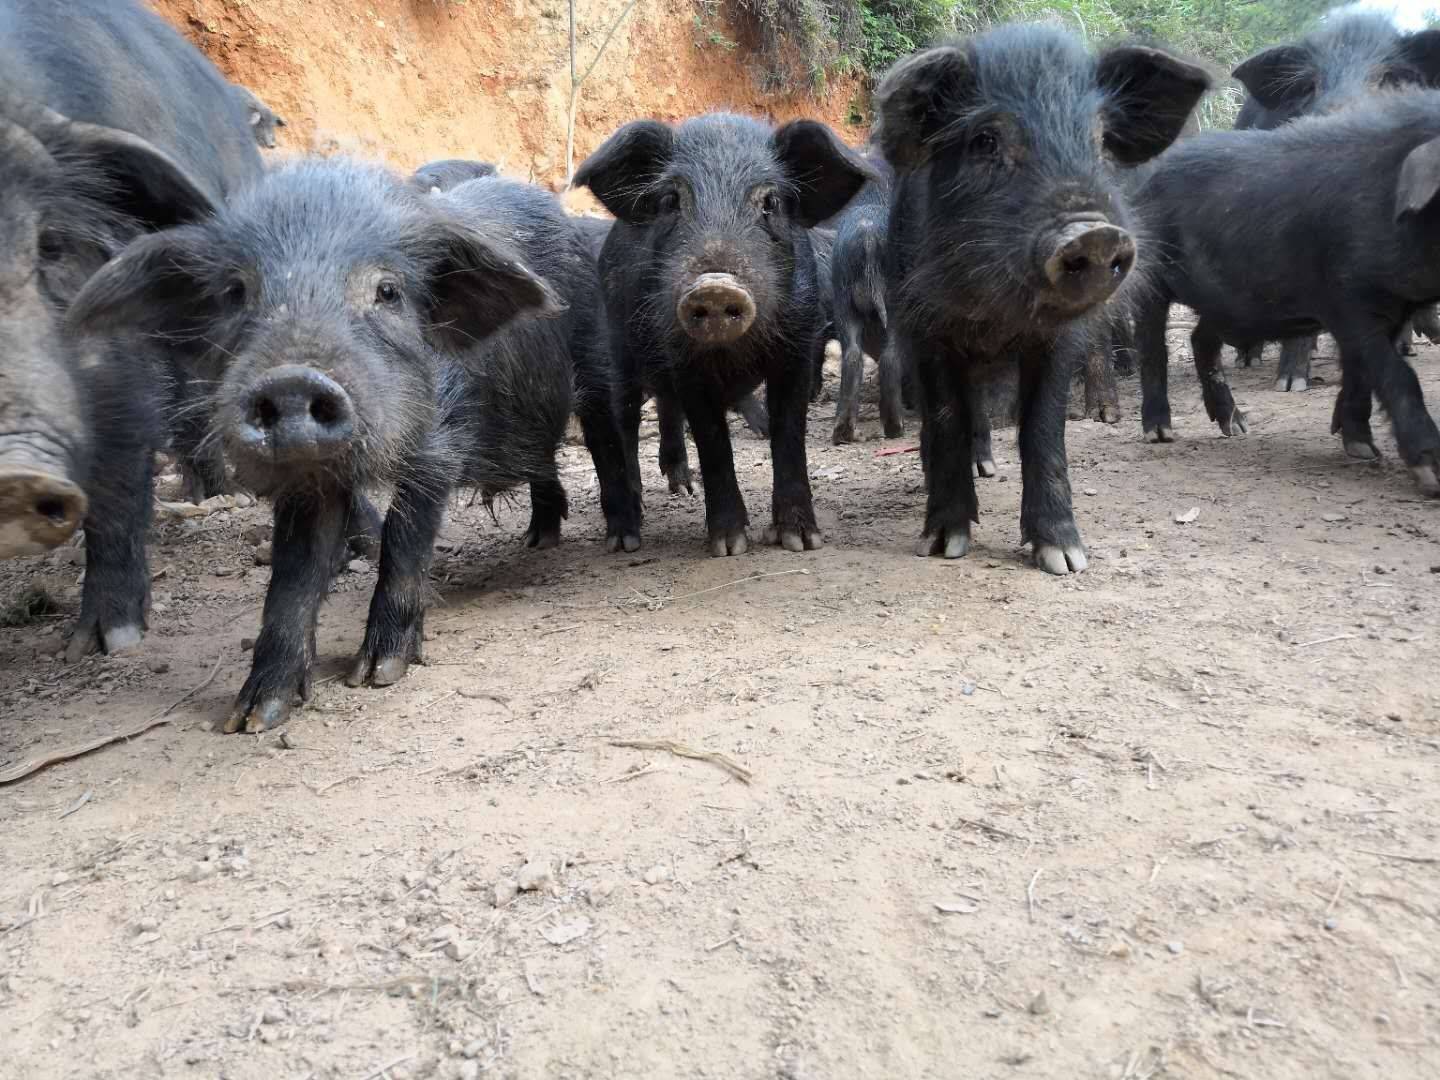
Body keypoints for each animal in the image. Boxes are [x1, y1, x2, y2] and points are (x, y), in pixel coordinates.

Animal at [570, 116, 864, 558]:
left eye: (771, 203)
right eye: (670, 200)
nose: (715, 286)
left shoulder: (797, 348)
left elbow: (790, 433)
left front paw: (801, 541)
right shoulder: (685, 362)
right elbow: (712, 439)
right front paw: (729, 546)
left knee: (666, 406)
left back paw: (682, 487)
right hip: (617, 348)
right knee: (626, 420)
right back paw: (636, 519)